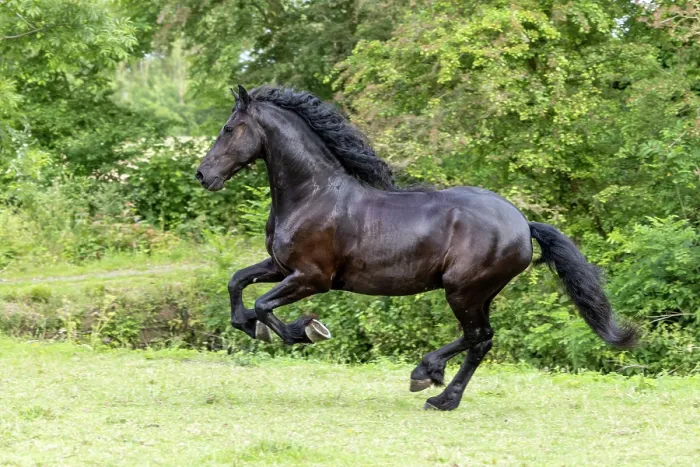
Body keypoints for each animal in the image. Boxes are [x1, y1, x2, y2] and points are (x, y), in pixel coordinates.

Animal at [195, 85, 637, 411]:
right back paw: (442, 395)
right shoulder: (279, 266)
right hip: (479, 293)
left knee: (479, 336)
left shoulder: (311, 278)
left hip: (463, 290)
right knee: (482, 340)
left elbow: (263, 305)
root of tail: (523, 223)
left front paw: (306, 331)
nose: (202, 175)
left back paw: (428, 377)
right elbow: (237, 284)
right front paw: (252, 327)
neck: (313, 195)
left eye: (230, 128)